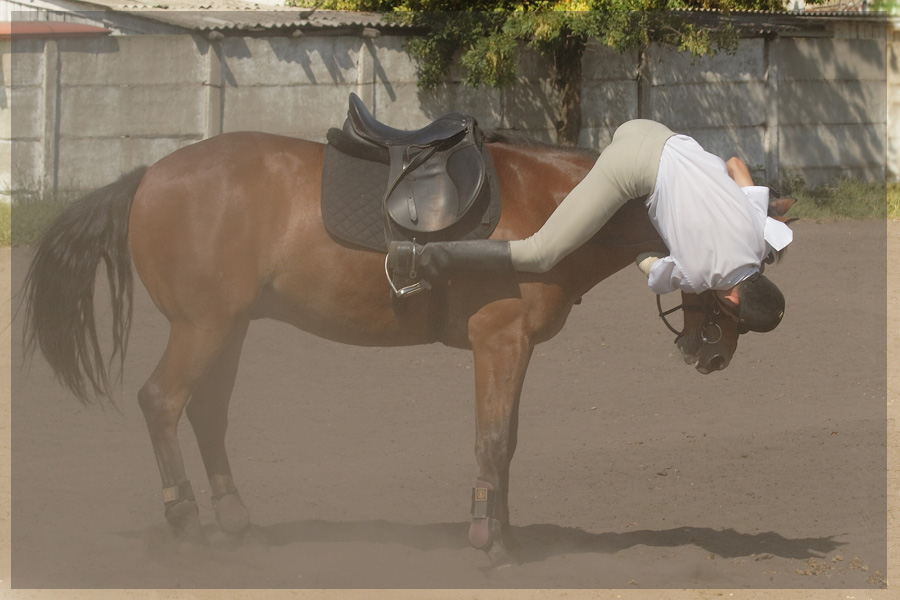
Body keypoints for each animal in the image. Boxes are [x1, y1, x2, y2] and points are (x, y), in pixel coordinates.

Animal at [19, 123, 772, 568]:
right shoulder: (499, 342)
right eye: (745, 250)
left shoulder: (514, 348)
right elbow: (491, 441)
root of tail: (147, 175)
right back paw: (183, 522)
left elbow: (507, 443)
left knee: (205, 413)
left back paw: (233, 518)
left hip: (228, 327)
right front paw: (487, 542)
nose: (718, 350)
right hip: (201, 327)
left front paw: (504, 533)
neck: (552, 200)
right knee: (162, 402)